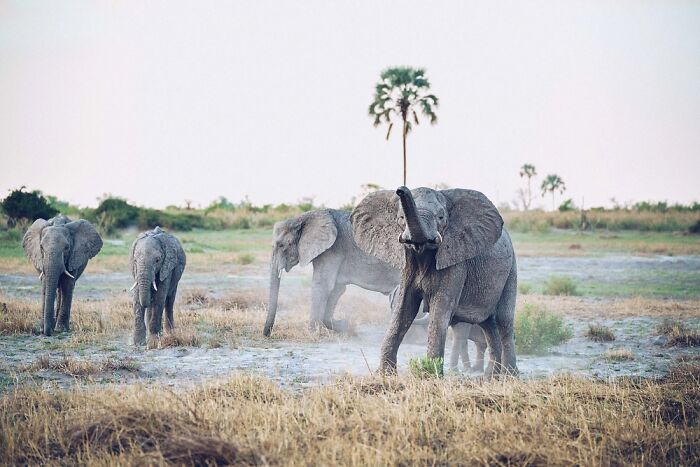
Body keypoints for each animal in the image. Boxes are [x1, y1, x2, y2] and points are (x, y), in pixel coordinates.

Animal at [263, 209, 401, 336]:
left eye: (281, 245)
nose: (267, 334)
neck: (302, 218)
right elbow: (337, 289)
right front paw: (344, 325)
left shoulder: (331, 250)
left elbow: (322, 286)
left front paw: (312, 333)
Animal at [351, 186, 518, 377]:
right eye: (401, 218)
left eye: (441, 217)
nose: (401, 189)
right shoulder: (407, 264)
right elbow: (404, 309)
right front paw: (385, 375)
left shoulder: (455, 262)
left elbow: (440, 310)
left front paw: (431, 375)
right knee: (488, 324)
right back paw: (492, 377)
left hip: (511, 270)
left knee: (504, 321)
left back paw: (510, 375)